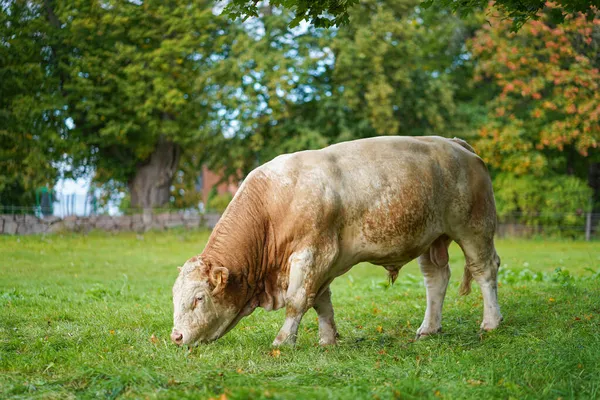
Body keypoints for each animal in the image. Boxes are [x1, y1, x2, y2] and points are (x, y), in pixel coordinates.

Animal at [172, 136, 502, 346]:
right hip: (432, 237)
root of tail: (455, 144)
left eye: (199, 298)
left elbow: (297, 301)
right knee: (436, 279)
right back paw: (428, 329)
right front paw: (327, 339)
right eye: (174, 297)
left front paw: (283, 341)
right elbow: (321, 301)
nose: (176, 336)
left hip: (474, 227)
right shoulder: (324, 262)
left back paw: (491, 322)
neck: (272, 203)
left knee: (485, 269)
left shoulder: (312, 254)